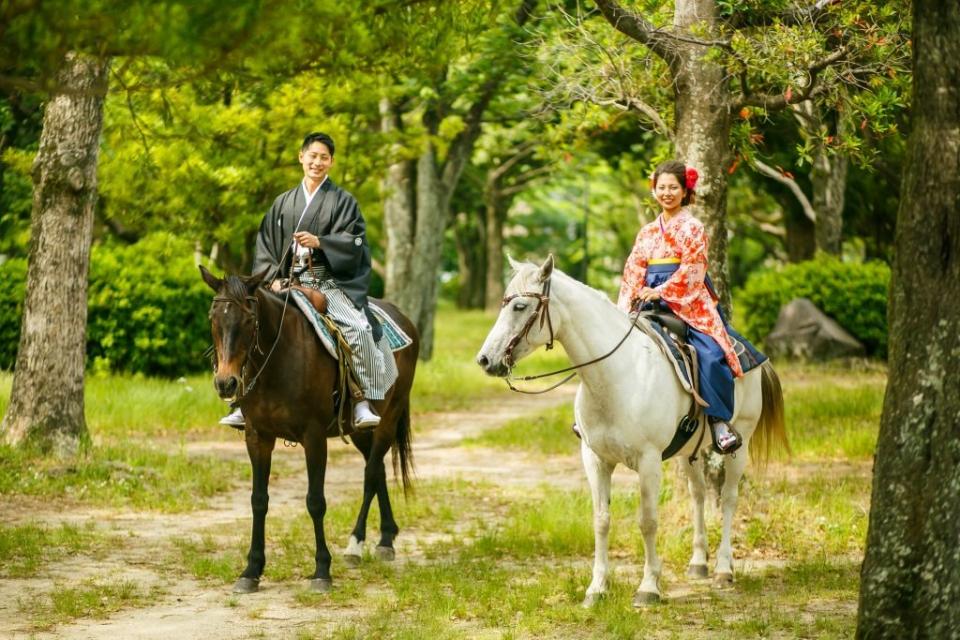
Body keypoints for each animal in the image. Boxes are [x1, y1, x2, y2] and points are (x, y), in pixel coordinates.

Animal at [198, 266, 416, 596]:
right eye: (214, 318)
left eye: (249, 319)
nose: (226, 383)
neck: (279, 360)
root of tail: (404, 318)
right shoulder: (257, 436)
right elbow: (258, 500)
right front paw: (252, 570)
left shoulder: (313, 437)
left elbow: (315, 501)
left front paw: (322, 570)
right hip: (359, 431)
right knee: (376, 469)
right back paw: (386, 538)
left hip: (389, 417)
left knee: (370, 474)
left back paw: (356, 544)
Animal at [476, 255, 784, 604]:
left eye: (520, 306)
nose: (485, 359)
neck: (614, 376)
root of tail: (751, 352)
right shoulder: (595, 459)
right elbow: (601, 520)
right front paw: (597, 588)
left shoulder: (648, 461)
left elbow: (648, 521)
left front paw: (648, 587)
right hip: (687, 451)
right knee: (698, 494)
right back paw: (698, 562)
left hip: (740, 441)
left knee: (729, 498)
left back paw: (723, 568)